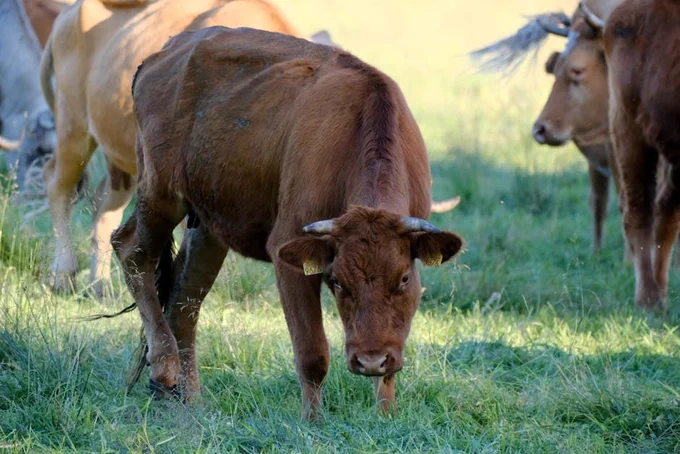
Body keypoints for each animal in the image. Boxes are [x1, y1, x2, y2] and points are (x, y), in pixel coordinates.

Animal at [40, 0, 333, 297]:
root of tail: (69, 12)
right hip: (74, 127)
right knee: (58, 185)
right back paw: (63, 276)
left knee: (103, 208)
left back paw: (101, 286)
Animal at [114, 26, 464, 418]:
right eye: (337, 281)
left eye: (403, 278)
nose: (370, 361)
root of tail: (160, 57)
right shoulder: (291, 256)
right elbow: (312, 353)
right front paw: (312, 420)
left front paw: (385, 414)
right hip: (160, 193)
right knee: (132, 251)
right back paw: (164, 369)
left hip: (206, 225)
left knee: (185, 298)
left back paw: (191, 398)